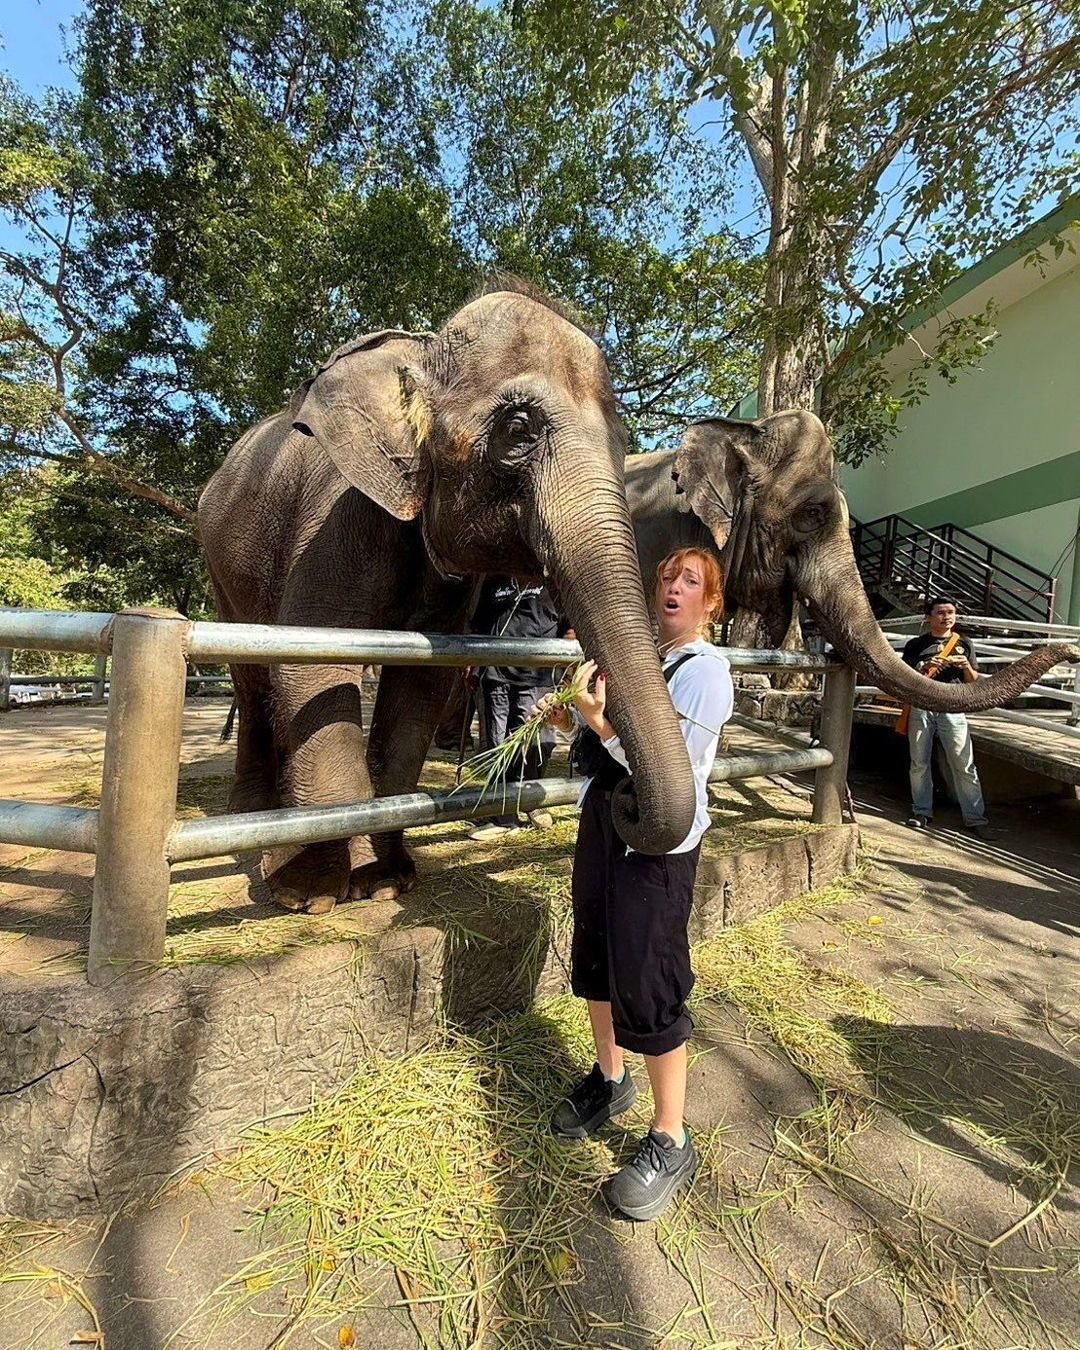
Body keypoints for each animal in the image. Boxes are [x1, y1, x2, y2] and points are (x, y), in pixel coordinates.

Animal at [198, 278, 696, 914]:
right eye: (518, 429)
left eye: (623, 442)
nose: (624, 795)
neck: (423, 349)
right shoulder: (335, 518)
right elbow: (313, 662)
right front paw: (307, 891)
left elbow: (420, 685)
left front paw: (385, 880)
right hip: (222, 568)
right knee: (252, 674)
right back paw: (251, 816)